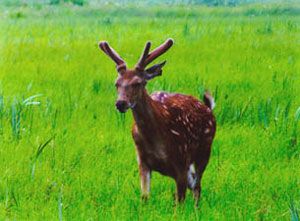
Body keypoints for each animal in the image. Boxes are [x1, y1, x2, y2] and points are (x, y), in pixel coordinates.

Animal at [99, 37, 217, 204]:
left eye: (138, 83)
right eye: (117, 83)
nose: (120, 103)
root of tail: (208, 108)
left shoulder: (181, 161)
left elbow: (179, 202)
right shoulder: (142, 161)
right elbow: (144, 197)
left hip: (205, 149)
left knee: (197, 187)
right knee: (194, 184)